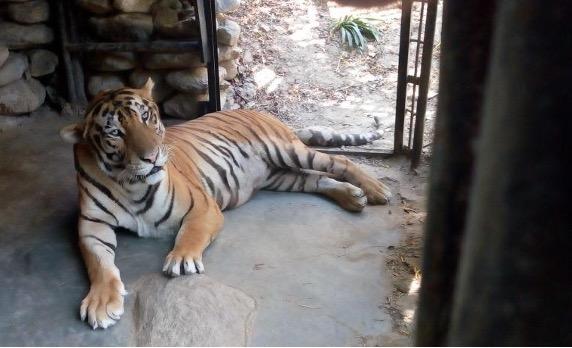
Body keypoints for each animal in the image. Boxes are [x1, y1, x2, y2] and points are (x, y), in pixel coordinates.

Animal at [61, 78, 394, 328]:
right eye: (115, 132)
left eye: (147, 118)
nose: (152, 157)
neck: (129, 183)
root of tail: (263, 113)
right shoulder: (91, 226)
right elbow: (99, 263)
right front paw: (101, 303)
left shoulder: (202, 205)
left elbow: (190, 232)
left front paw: (181, 259)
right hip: (282, 176)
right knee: (317, 181)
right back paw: (353, 197)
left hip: (287, 151)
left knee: (339, 161)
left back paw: (377, 190)